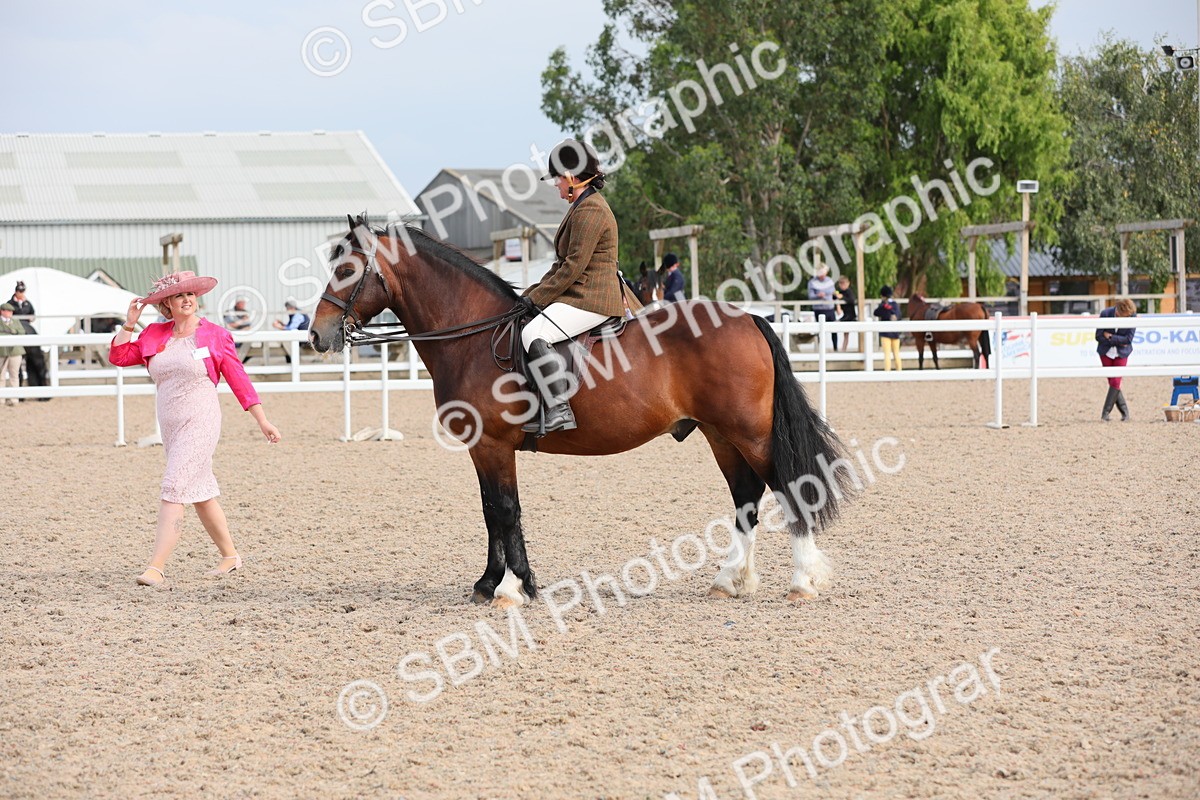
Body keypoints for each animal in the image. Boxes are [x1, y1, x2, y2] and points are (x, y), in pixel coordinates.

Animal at [310, 215, 849, 608]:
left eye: (347, 270)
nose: (317, 334)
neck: (473, 335)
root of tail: (750, 317)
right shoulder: (483, 448)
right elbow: (492, 512)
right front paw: (493, 583)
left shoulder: (493, 445)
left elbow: (505, 510)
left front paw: (511, 589)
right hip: (720, 435)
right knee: (746, 498)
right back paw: (730, 580)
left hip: (749, 433)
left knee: (788, 488)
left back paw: (801, 582)